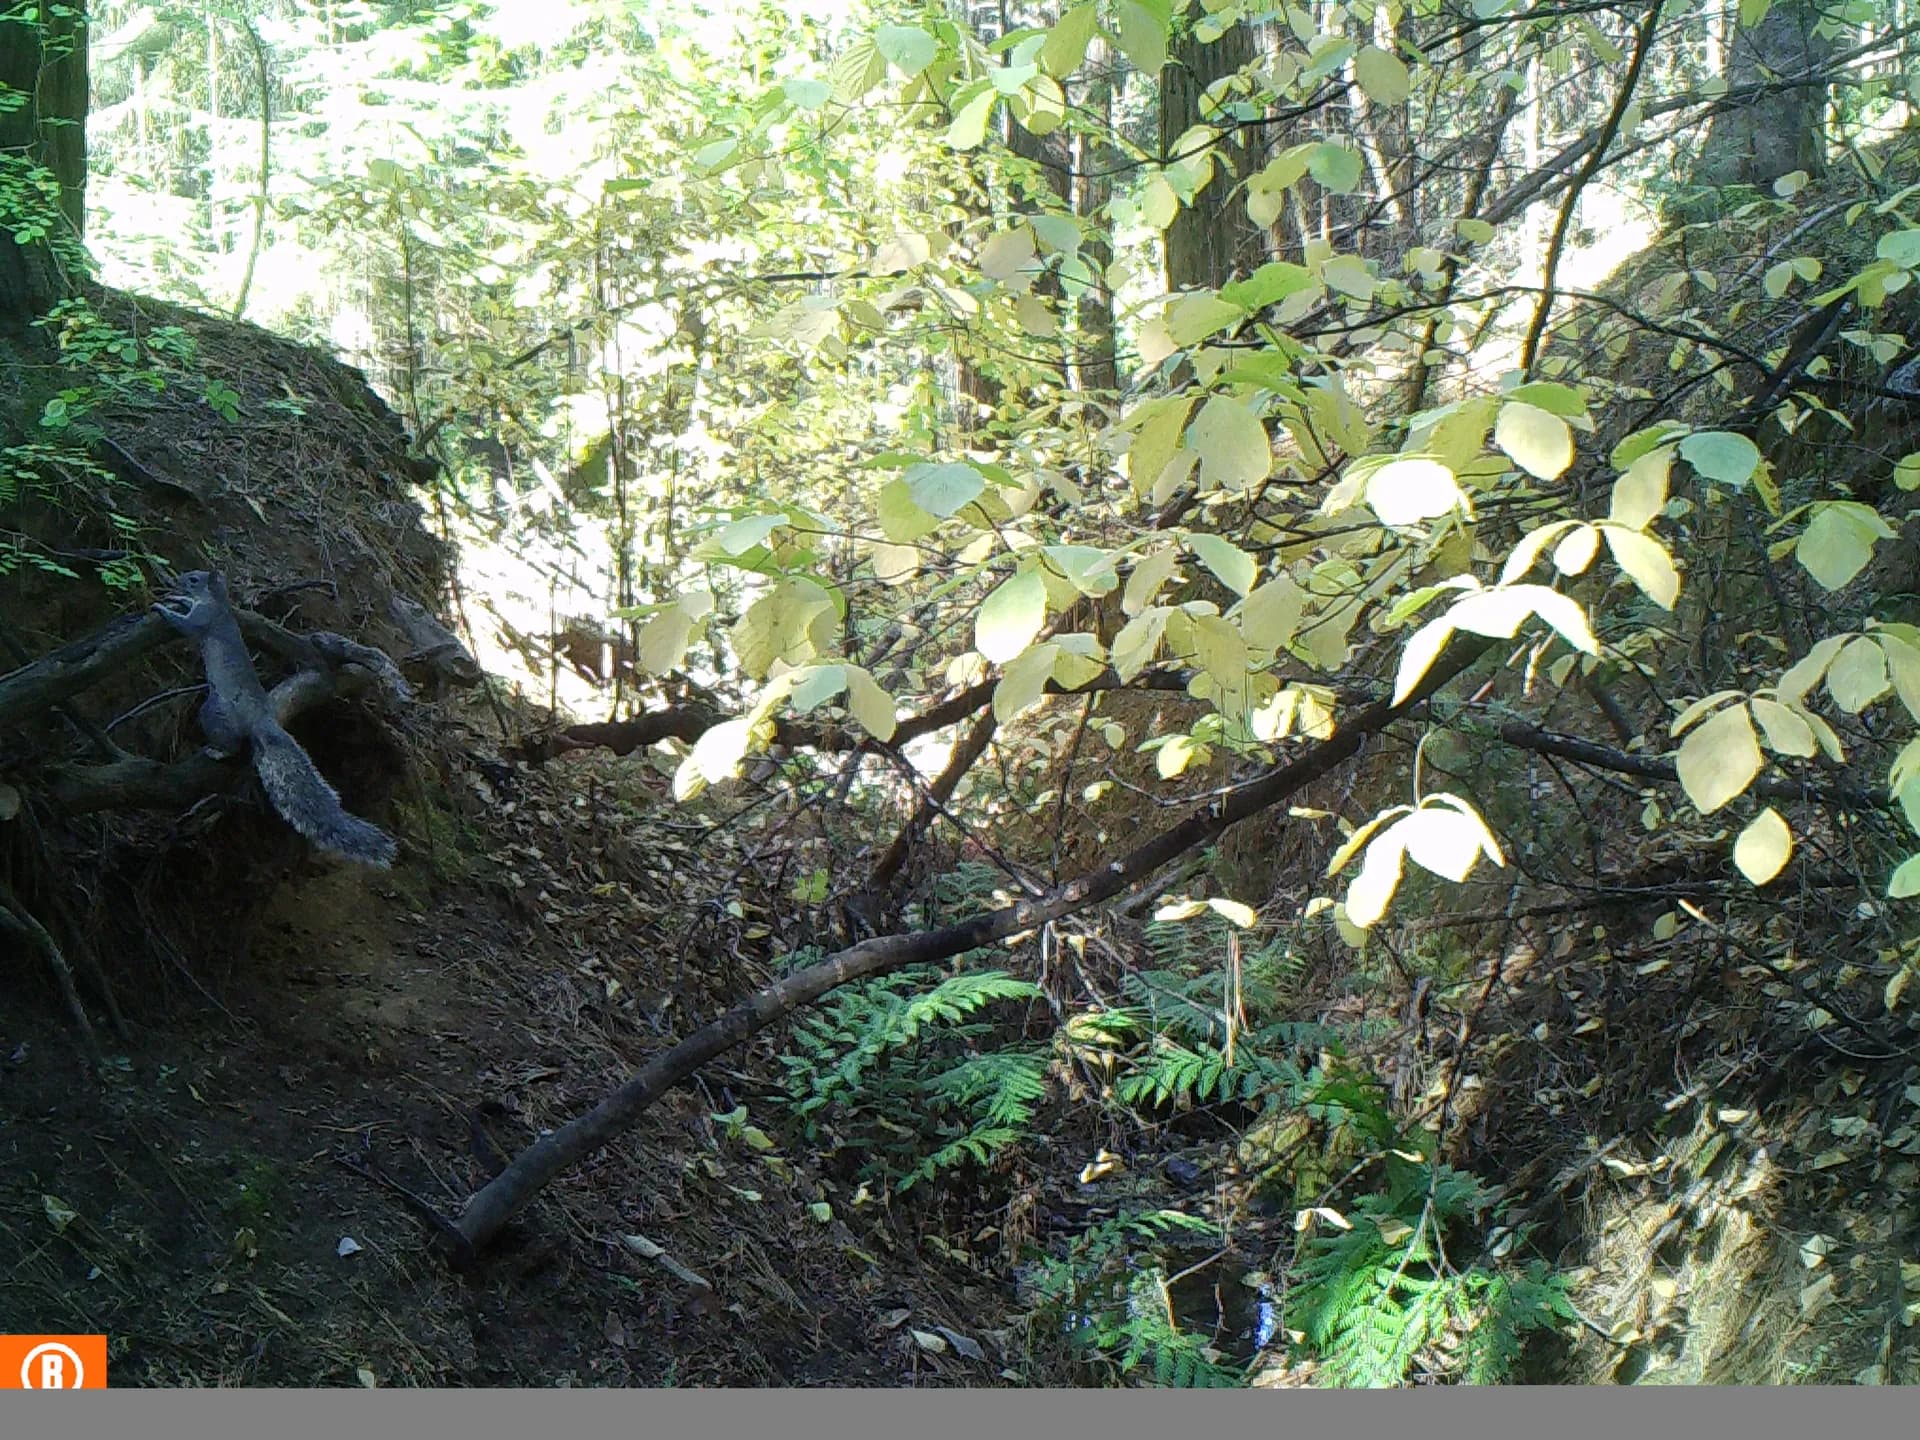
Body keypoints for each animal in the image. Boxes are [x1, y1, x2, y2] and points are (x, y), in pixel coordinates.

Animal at [152, 570, 398, 868]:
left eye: (194, 580)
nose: (178, 580)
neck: (218, 603)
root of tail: (260, 718)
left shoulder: (203, 619)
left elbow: (184, 625)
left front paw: (163, 607)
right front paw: (177, 599)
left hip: (217, 711)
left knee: (231, 740)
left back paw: (219, 750)